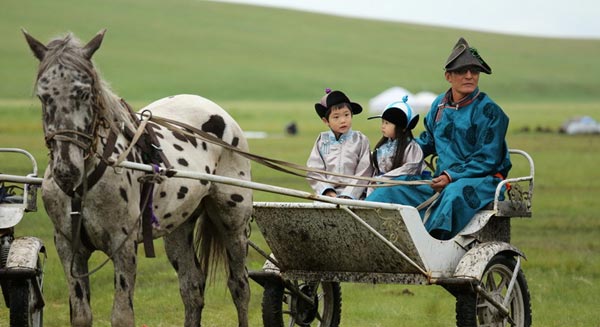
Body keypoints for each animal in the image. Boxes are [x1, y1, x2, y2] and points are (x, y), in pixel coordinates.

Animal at [23, 28, 252, 327]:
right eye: (43, 95)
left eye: (84, 93)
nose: (66, 170)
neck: (84, 187)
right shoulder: (68, 248)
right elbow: (82, 315)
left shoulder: (123, 247)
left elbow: (122, 316)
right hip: (178, 227)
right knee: (191, 287)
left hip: (233, 223)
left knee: (239, 286)